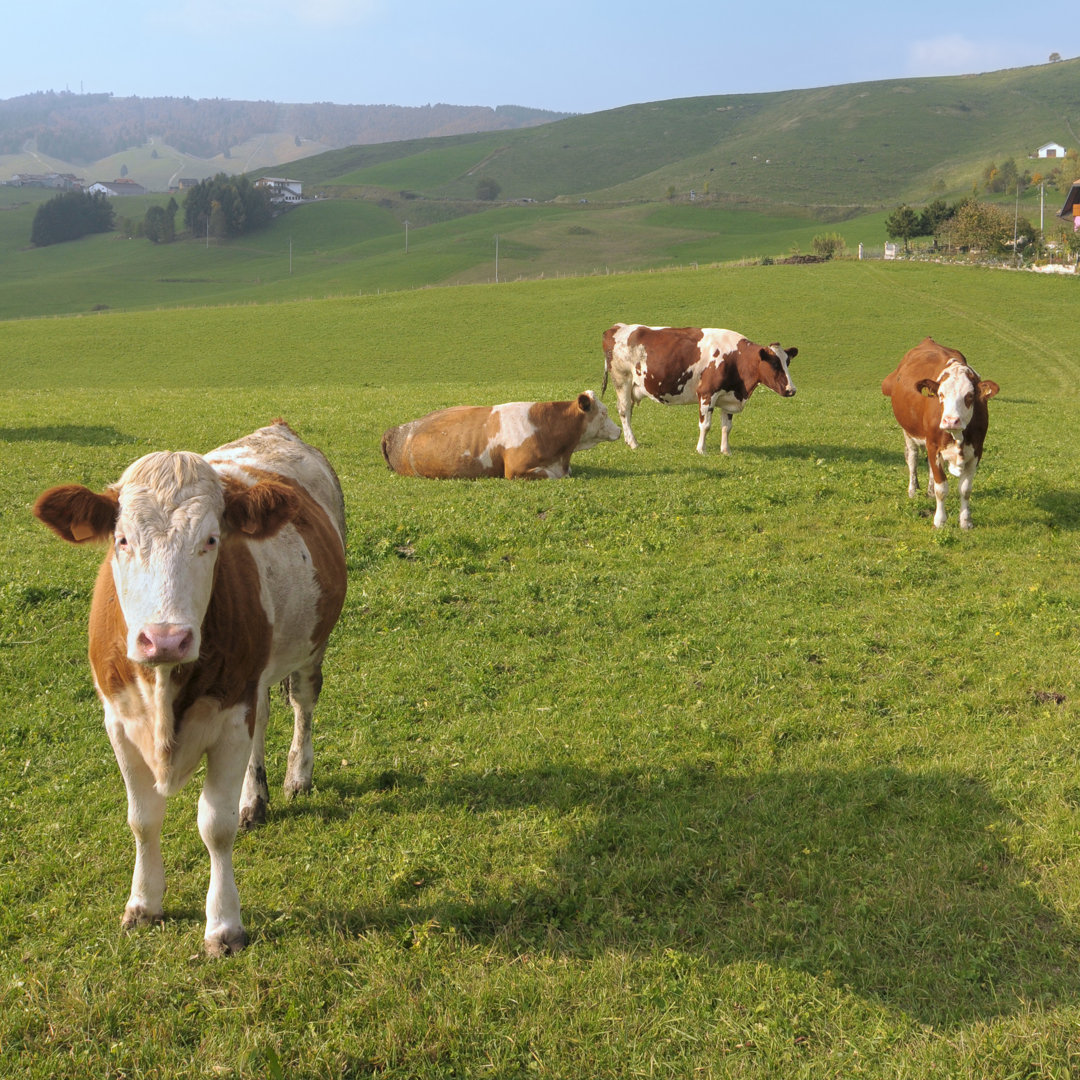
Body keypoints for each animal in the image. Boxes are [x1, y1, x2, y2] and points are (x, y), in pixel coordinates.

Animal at [32, 421, 345, 954]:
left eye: (212, 540)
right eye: (121, 540)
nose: (165, 638)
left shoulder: (231, 711)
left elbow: (215, 826)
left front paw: (224, 925)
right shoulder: (118, 720)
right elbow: (143, 817)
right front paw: (143, 903)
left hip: (309, 649)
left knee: (302, 705)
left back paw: (295, 777)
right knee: (265, 715)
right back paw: (253, 799)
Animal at [604, 321, 799, 453]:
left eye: (787, 362)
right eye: (774, 364)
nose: (791, 390)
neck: (736, 358)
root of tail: (618, 327)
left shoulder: (728, 397)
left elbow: (726, 427)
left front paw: (726, 451)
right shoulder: (707, 393)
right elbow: (705, 425)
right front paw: (701, 450)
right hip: (622, 380)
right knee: (624, 410)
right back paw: (633, 442)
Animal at [881, 332, 997, 527]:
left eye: (969, 396)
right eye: (941, 395)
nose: (951, 421)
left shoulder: (976, 451)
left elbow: (965, 489)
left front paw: (966, 522)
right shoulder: (933, 445)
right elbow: (941, 488)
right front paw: (940, 521)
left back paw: (928, 490)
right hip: (908, 432)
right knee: (912, 458)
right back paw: (913, 490)